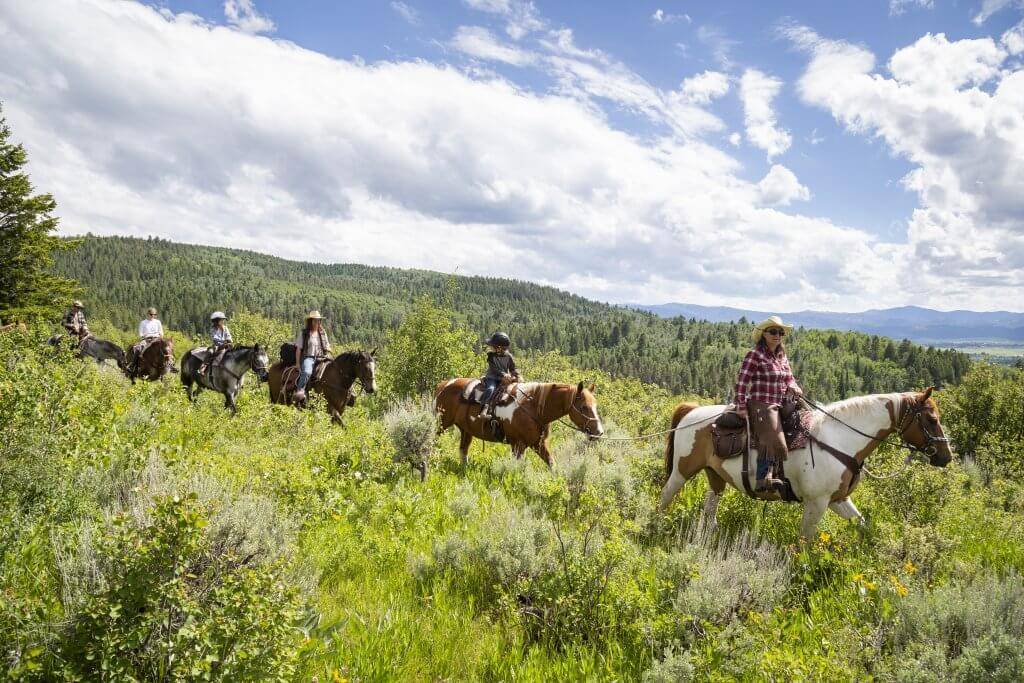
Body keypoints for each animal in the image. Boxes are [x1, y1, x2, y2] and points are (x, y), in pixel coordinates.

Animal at [434, 378, 606, 471]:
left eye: (595, 405)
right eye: (584, 407)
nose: (599, 432)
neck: (534, 409)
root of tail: (444, 384)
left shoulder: (538, 444)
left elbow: (552, 464)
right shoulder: (518, 445)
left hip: (465, 430)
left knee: (463, 450)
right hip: (440, 424)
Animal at [659, 389, 954, 540]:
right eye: (931, 419)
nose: (946, 456)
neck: (840, 439)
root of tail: (693, 411)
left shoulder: (838, 499)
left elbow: (861, 523)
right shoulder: (817, 503)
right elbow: (806, 541)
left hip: (715, 475)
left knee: (711, 506)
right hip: (682, 471)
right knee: (666, 495)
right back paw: (656, 525)